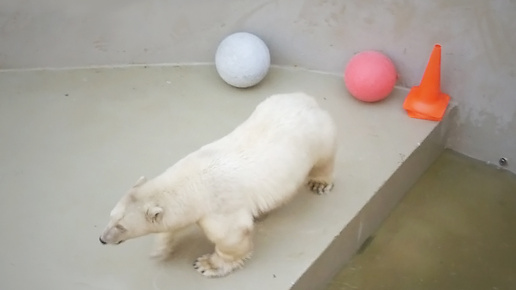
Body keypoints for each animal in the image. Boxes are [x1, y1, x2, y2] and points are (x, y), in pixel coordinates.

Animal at [100, 92, 338, 278]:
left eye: (121, 227)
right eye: (111, 216)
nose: (102, 239)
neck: (192, 179)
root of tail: (305, 99)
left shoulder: (219, 207)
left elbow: (232, 236)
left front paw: (207, 264)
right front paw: (160, 249)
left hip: (319, 138)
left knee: (324, 159)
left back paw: (319, 183)